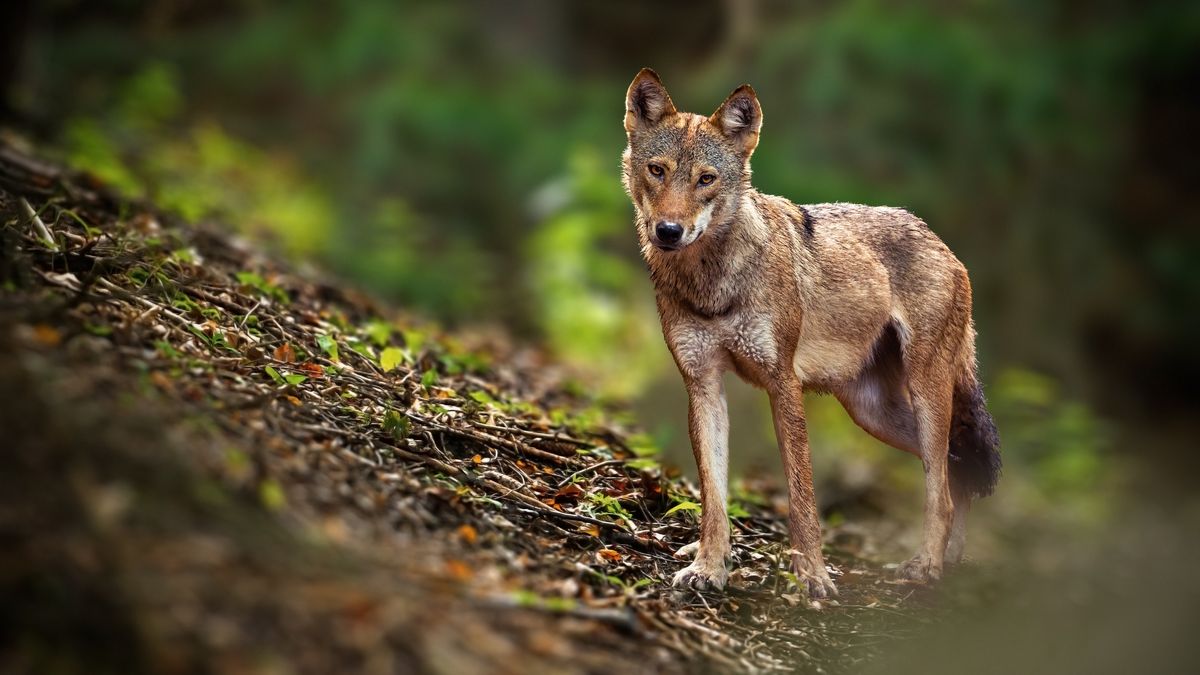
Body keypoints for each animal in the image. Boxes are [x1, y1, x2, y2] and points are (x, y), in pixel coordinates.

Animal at [621, 69, 1000, 598]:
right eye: (657, 170)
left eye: (706, 179)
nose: (669, 231)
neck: (713, 284)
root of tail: (940, 241)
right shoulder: (703, 385)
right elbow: (714, 496)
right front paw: (709, 567)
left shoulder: (784, 384)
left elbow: (802, 496)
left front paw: (813, 577)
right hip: (872, 412)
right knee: (956, 468)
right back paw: (950, 561)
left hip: (925, 395)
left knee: (941, 485)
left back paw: (926, 565)